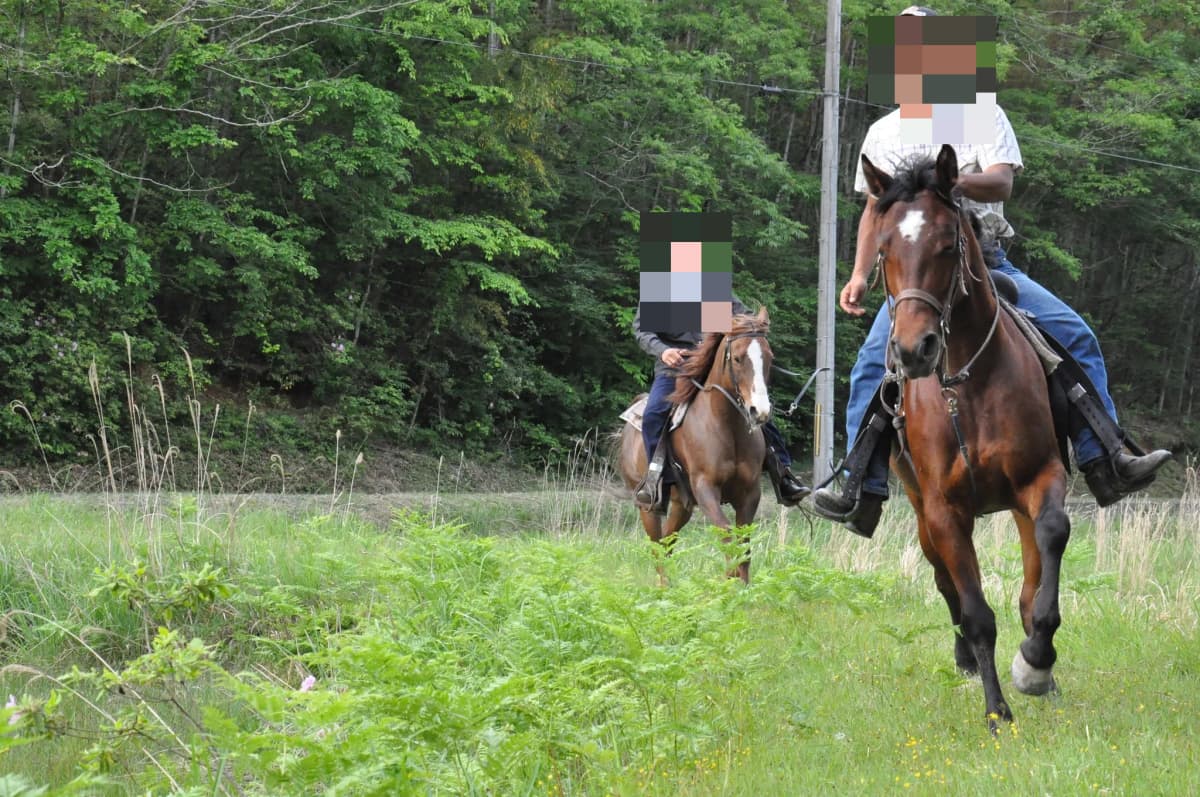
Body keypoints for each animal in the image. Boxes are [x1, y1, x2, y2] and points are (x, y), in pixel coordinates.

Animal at [618, 307, 774, 584]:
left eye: (769, 357)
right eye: (737, 358)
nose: (760, 411)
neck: (726, 426)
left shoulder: (750, 493)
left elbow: (743, 545)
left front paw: (743, 587)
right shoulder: (706, 489)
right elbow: (727, 537)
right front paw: (729, 584)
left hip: (681, 504)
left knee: (667, 542)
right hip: (648, 506)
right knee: (657, 547)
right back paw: (664, 588)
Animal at [861, 144, 1070, 730]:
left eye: (945, 245)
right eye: (884, 250)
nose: (914, 350)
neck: (965, 386)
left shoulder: (1041, 478)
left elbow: (1052, 541)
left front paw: (1036, 664)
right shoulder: (943, 509)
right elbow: (975, 612)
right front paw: (998, 712)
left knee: (1030, 578)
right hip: (918, 507)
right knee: (944, 582)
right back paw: (967, 661)